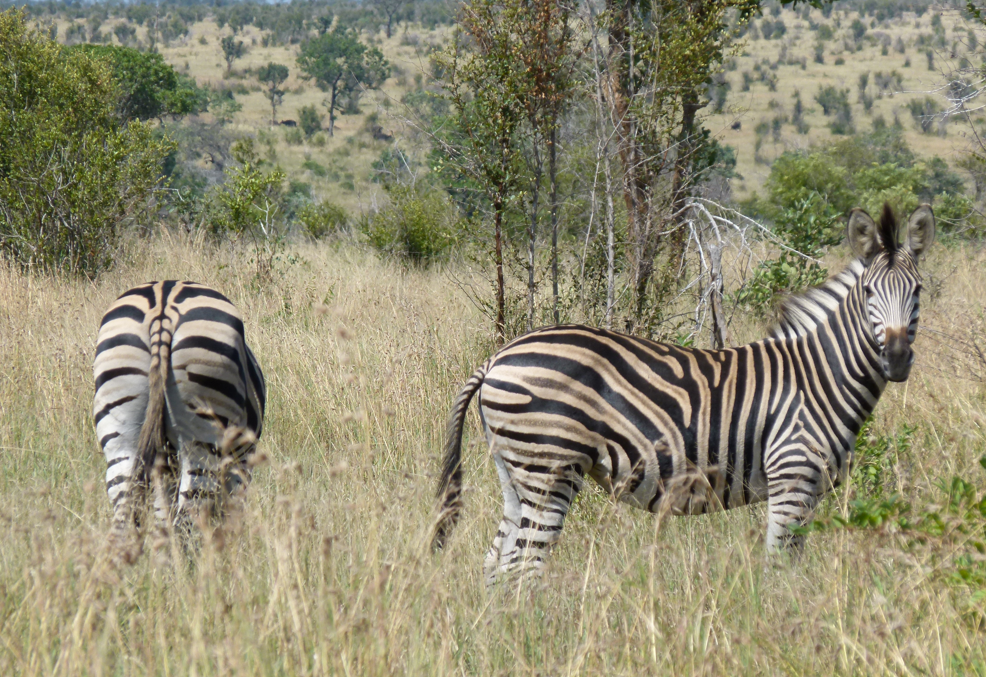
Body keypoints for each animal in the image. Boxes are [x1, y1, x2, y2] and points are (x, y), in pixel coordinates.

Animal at [93, 281, 266, 555]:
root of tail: (162, 306)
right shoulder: (240, 464)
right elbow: (230, 515)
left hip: (120, 433)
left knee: (129, 514)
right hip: (203, 434)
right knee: (188, 518)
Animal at [433, 203, 935, 585]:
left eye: (918, 291)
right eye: (868, 292)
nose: (896, 360)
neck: (819, 376)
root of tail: (497, 358)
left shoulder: (806, 490)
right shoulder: (792, 479)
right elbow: (779, 573)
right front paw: (778, 627)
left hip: (515, 471)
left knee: (496, 564)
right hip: (549, 468)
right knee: (524, 566)